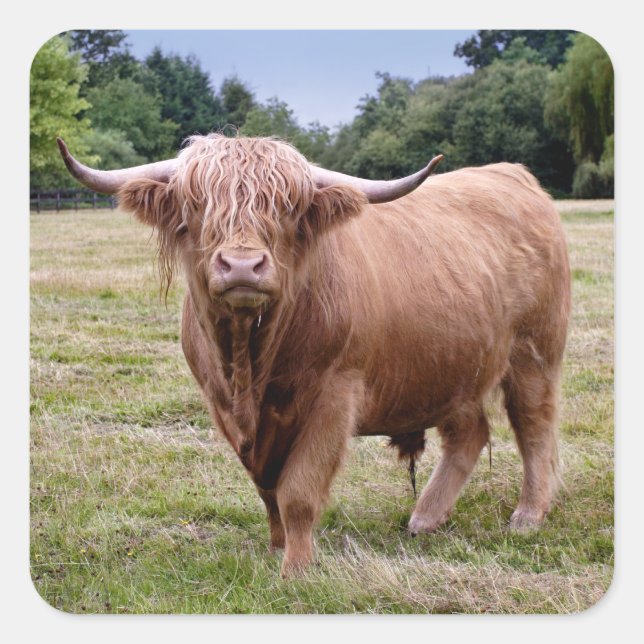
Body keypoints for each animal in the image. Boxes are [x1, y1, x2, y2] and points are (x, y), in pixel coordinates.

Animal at [57, 134, 570, 576]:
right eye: (197, 204)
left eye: (287, 208)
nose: (242, 265)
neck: (250, 366)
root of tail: (514, 175)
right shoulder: (224, 407)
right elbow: (267, 489)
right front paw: (276, 546)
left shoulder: (334, 397)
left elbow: (298, 490)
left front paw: (297, 567)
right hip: (452, 365)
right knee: (469, 433)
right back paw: (425, 518)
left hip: (533, 354)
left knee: (534, 427)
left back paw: (528, 516)